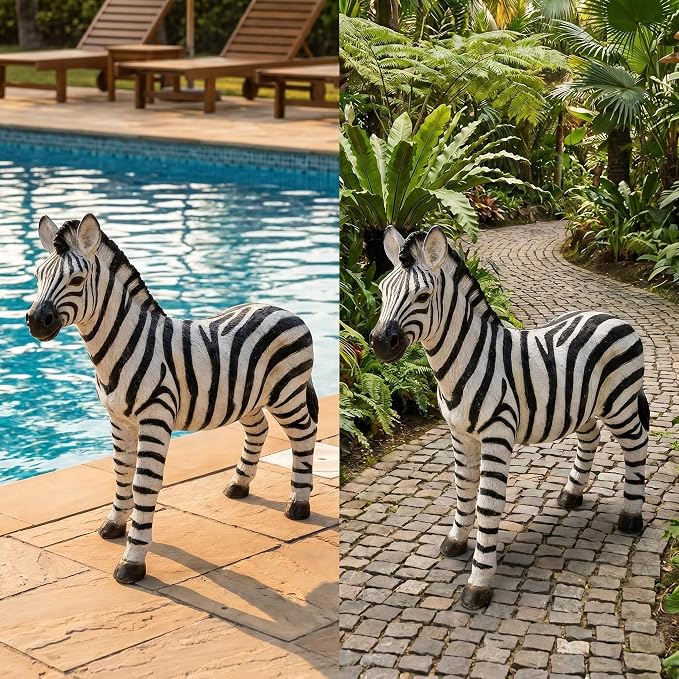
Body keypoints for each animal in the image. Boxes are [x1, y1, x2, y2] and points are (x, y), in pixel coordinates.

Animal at [26, 214, 318, 584]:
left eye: (76, 280)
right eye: (38, 276)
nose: (36, 321)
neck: (122, 344)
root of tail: (284, 310)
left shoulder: (155, 418)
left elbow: (143, 485)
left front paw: (132, 561)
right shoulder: (119, 420)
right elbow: (121, 472)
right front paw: (114, 525)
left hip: (286, 392)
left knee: (304, 435)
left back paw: (299, 504)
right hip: (248, 395)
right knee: (259, 430)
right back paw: (239, 485)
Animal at [369, 225, 649, 609]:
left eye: (423, 296)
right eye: (382, 291)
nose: (380, 343)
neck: (466, 359)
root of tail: (613, 317)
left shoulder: (496, 437)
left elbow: (487, 504)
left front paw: (478, 583)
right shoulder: (459, 434)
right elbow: (463, 488)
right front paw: (456, 541)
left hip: (619, 402)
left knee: (637, 445)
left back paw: (631, 518)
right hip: (582, 404)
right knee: (590, 437)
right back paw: (571, 494)